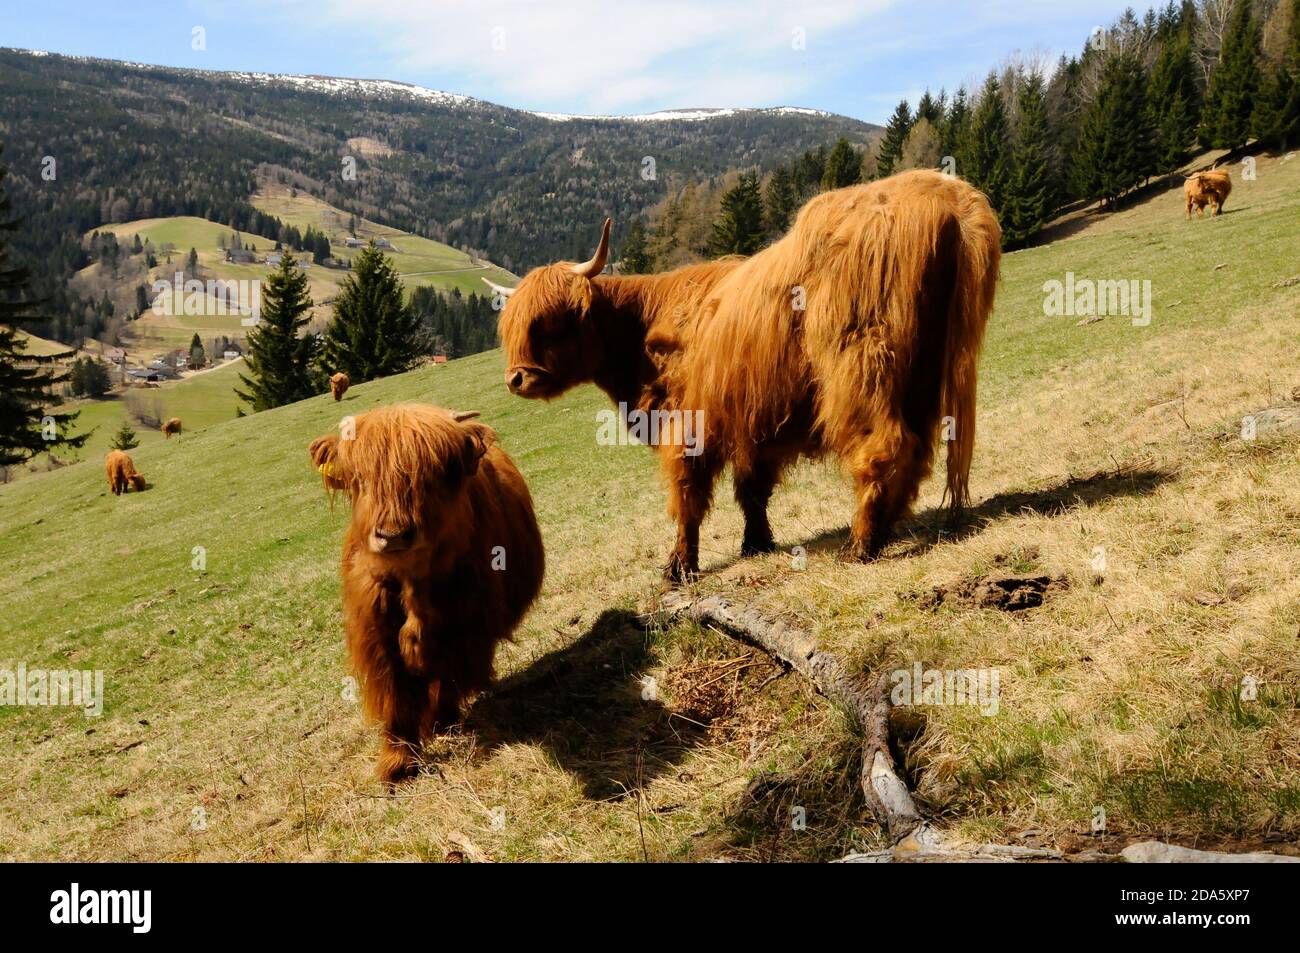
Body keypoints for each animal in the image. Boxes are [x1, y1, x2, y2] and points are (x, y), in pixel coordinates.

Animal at [308, 404, 545, 785]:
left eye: (432, 475)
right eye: (360, 479)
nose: (393, 535)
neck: (412, 584)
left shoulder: (466, 627)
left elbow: (447, 678)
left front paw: (440, 723)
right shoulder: (378, 640)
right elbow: (395, 698)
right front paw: (397, 763)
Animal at [495, 169, 1001, 580]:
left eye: (552, 321)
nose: (516, 379)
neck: (641, 330)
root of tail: (946, 195)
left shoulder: (690, 424)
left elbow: (688, 496)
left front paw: (678, 568)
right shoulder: (752, 420)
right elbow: (752, 489)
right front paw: (756, 543)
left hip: (861, 363)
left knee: (883, 446)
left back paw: (860, 545)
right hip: (924, 374)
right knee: (917, 450)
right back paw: (886, 528)